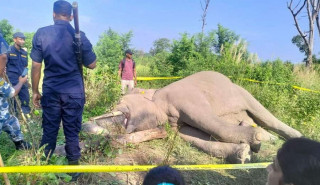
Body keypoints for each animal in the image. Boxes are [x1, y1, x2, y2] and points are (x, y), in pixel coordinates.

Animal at [83, 71, 302, 163]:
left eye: (117, 103)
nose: (86, 125)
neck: (157, 95)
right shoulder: (177, 124)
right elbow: (195, 138)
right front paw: (244, 154)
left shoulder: (187, 99)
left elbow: (210, 124)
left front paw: (256, 142)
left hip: (242, 91)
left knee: (264, 114)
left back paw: (291, 138)